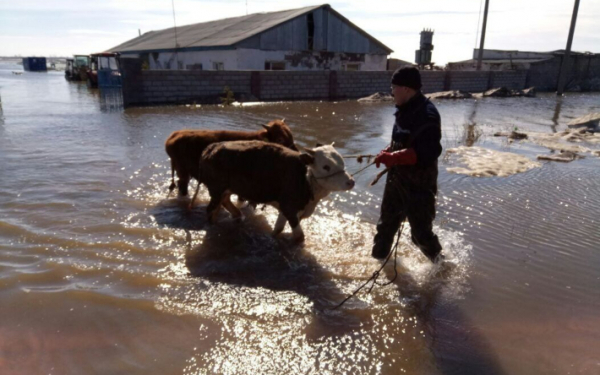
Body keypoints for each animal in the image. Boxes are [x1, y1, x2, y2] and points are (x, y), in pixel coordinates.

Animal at [164, 119, 298, 200]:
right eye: (280, 139)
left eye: (291, 135)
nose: (296, 152)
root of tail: (174, 135)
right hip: (182, 170)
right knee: (182, 185)